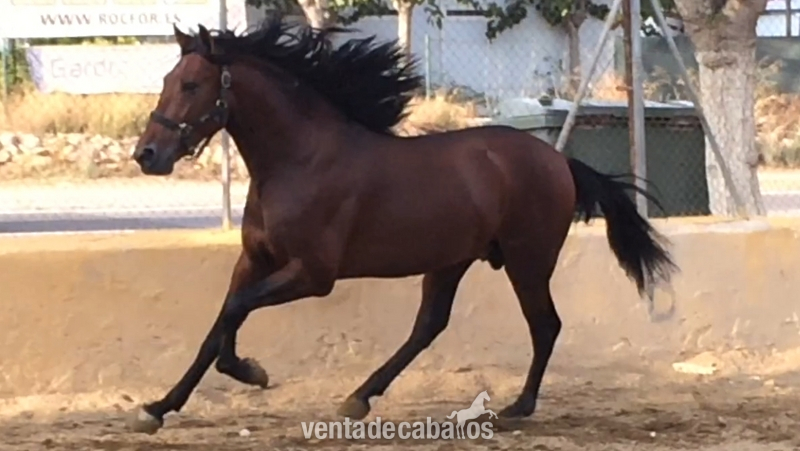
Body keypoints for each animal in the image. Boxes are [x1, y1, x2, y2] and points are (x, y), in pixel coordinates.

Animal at [127, 14, 678, 434]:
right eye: (166, 83)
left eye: (192, 85)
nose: (146, 155)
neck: (299, 160)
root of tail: (559, 160)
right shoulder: (255, 260)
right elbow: (221, 322)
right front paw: (159, 406)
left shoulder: (312, 274)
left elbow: (235, 312)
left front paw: (251, 371)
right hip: (452, 260)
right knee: (429, 325)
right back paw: (359, 398)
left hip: (527, 260)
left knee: (544, 325)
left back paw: (515, 407)